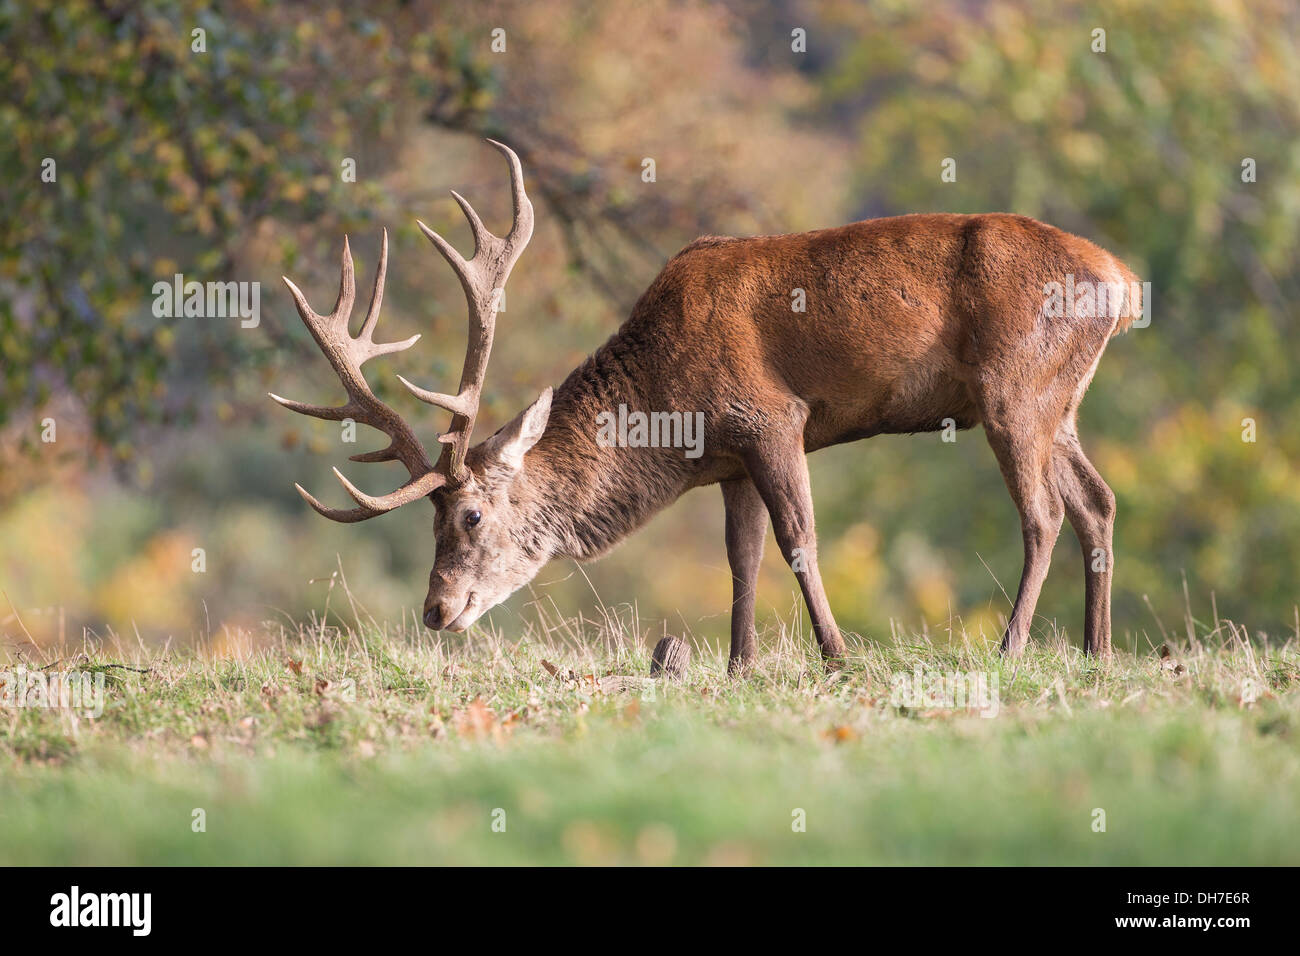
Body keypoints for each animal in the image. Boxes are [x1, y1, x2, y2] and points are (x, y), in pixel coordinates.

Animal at [272, 139, 1143, 674]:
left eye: (471, 516)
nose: (435, 610)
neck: (669, 411)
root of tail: (1123, 279)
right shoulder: (729, 461)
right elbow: (742, 559)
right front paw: (737, 663)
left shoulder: (771, 417)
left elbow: (800, 541)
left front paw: (836, 655)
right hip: (1059, 401)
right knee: (1098, 501)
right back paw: (1096, 650)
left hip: (1013, 390)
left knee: (1044, 514)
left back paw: (1012, 647)